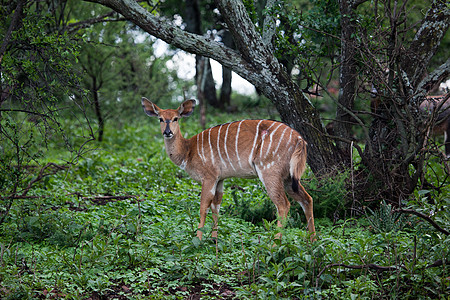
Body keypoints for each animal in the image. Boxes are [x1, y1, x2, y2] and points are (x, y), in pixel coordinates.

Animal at [142, 98, 316, 241]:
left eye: (176, 118)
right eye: (160, 119)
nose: (167, 132)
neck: (188, 150)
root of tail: (300, 139)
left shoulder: (209, 176)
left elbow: (203, 206)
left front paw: (198, 239)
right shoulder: (220, 179)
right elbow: (216, 205)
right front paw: (214, 239)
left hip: (270, 172)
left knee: (283, 205)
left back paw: (274, 244)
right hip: (288, 177)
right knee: (307, 199)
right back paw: (312, 241)